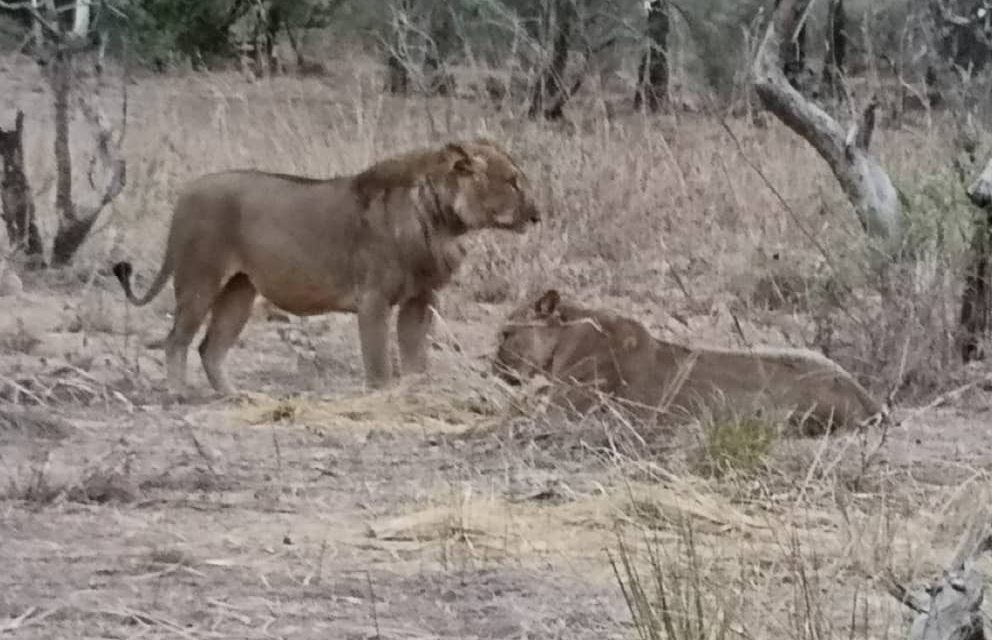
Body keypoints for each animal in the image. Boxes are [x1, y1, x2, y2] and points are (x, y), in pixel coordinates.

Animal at [114, 139, 544, 396]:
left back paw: (235, 397)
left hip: (239, 291)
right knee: (176, 340)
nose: (537, 214)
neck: (443, 223)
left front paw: (415, 392)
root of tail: (185, 192)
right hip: (200, 279)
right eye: (513, 182)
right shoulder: (373, 299)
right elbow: (379, 361)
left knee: (210, 347)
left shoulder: (419, 300)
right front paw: (382, 397)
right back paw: (179, 395)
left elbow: (415, 358)